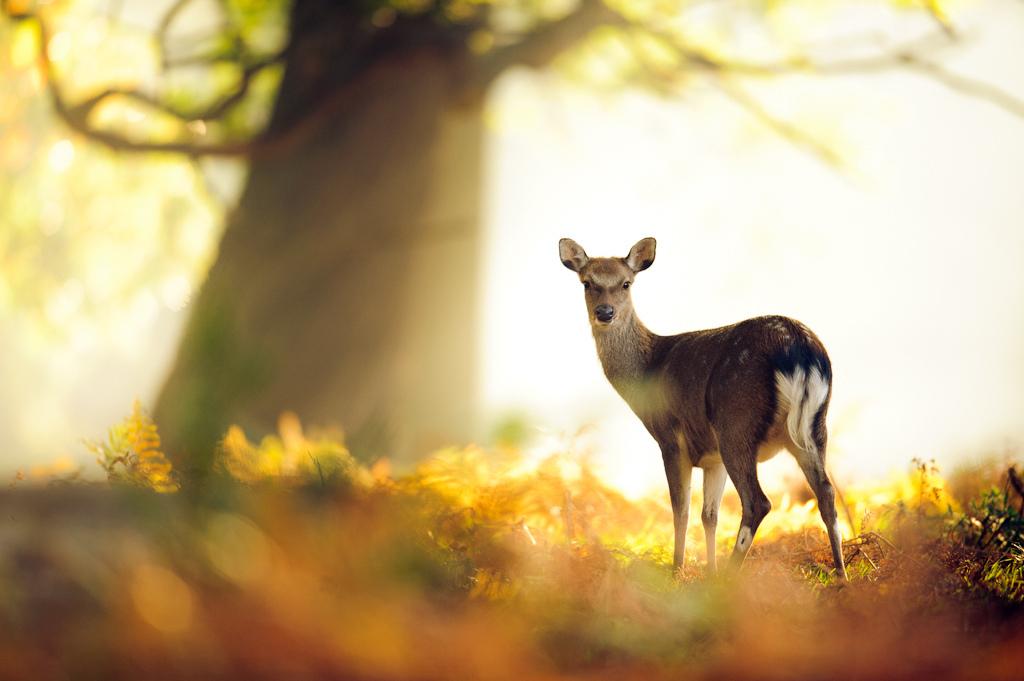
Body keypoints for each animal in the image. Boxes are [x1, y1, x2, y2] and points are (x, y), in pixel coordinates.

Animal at [561, 236, 847, 577]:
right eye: (587, 282)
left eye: (626, 283)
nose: (605, 312)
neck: (647, 370)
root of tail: (798, 347)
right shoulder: (713, 457)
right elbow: (709, 515)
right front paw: (707, 569)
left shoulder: (671, 437)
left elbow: (680, 510)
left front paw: (677, 571)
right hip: (815, 426)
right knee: (827, 493)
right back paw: (842, 575)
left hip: (736, 421)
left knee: (758, 501)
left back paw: (729, 577)